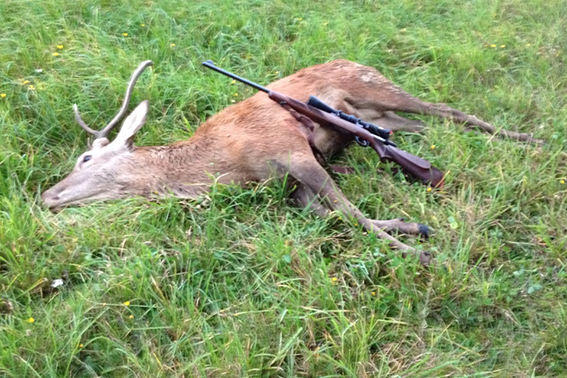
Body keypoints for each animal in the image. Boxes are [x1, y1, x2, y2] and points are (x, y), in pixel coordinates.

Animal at [41, 59, 540, 266]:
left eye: (86, 156)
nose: (47, 196)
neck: (224, 165)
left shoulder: (295, 154)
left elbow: (351, 213)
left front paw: (421, 252)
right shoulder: (291, 186)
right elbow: (333, 215)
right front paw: (412, 227)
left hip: (381, 88)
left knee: (451, 110)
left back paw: (530, 139)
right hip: (383, 116)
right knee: (418, 128)